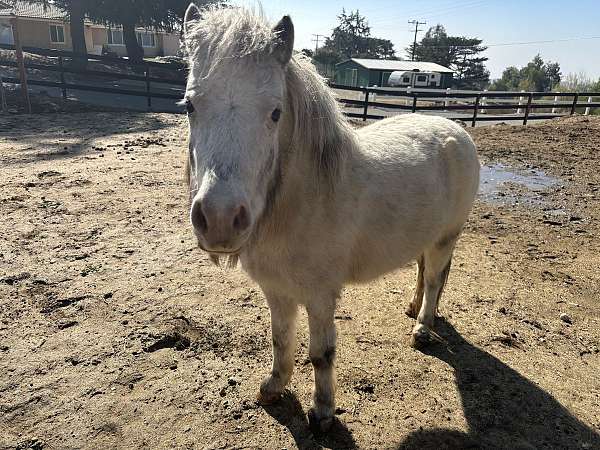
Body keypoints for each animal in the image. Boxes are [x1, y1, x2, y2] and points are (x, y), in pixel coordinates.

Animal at [182, 4, 478, 432]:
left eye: (275, 113)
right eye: (190, 106)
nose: (220, 219)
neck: (302, 204)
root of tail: (455, 128)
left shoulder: (320, 296)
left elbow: (321, 354)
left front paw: (322, 413)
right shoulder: (276, 290)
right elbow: (280, 340)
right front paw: (273, 388)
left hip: (446, 238)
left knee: (437, 277)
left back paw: (422, 327)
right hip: (427, 235)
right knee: (424, 272)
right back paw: (414, 309)